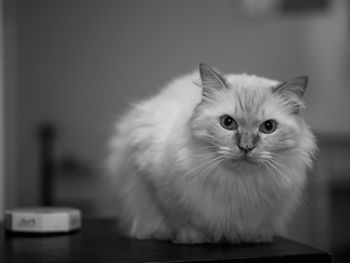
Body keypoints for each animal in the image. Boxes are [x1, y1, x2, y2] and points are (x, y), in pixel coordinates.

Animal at [105, 64, 316, 245]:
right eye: (228, 123)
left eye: (268, 127)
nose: (246, 147)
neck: (238, 186)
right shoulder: (157, 186)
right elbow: (180, 220)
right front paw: (192, 238)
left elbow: (260, 226)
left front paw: (256, 237)